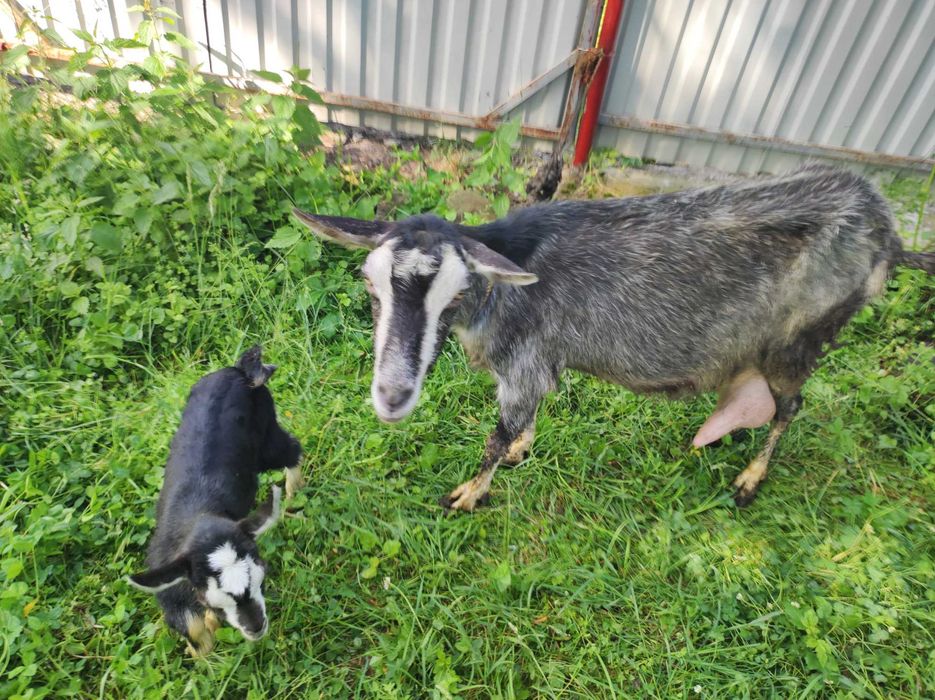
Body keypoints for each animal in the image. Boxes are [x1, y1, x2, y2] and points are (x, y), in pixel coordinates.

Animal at [128, 346, 303, 655]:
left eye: (262, 578)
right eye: (216, 602)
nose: (256, 627)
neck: (200, 515)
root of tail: (239, 370)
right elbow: (192, 625)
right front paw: (205, 651)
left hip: (267, 432)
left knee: (288, 449)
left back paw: (294, 490)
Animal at [294, 166, 933, 512]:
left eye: (454, 294)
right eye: (370, 285)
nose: (391, 397)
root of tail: (887, 230)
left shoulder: (523, 362)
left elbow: (497, 436)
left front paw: (470, 493)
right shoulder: (541, 361)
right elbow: (527, 421)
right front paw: (524, 448)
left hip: (801, 336)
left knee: (790, 406)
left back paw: (751, 479)